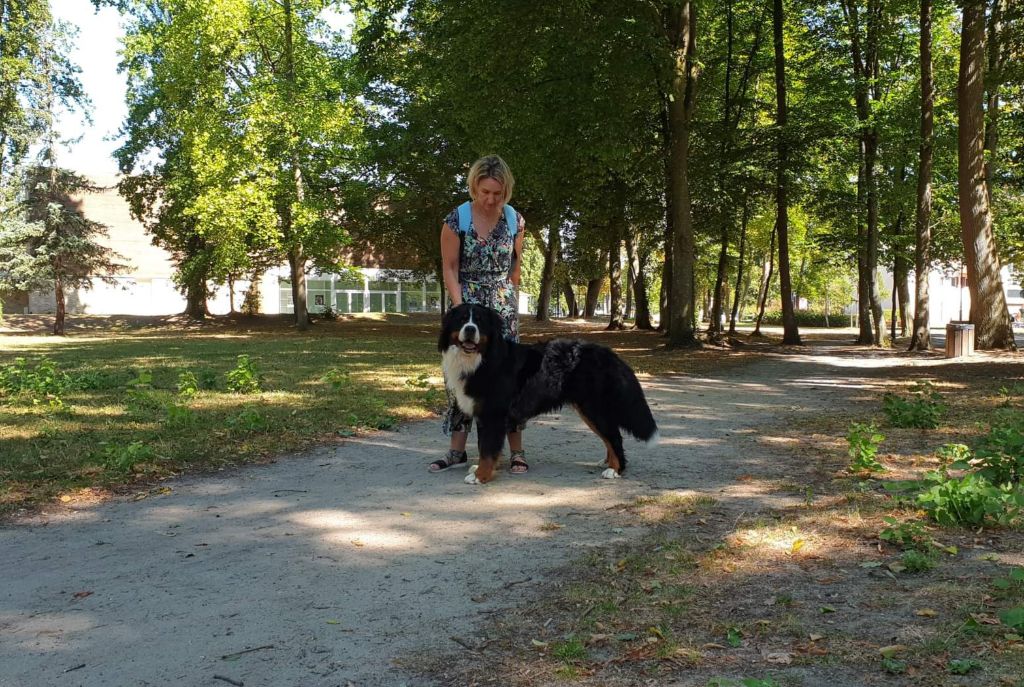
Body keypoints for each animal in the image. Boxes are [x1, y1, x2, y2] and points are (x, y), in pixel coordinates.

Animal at [438, 303, 659, 487]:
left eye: (480, 322)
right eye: (462, 320)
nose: (470, 329)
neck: (481, 360)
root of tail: (609, 353)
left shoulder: (494, 414)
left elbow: (487, 449)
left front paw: (481, 476)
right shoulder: (483, 414)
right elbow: (486, 446)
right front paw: (487, 469)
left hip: (594, 408)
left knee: (614, 437)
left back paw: (615, 469)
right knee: (609, 438)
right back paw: (607, 463)